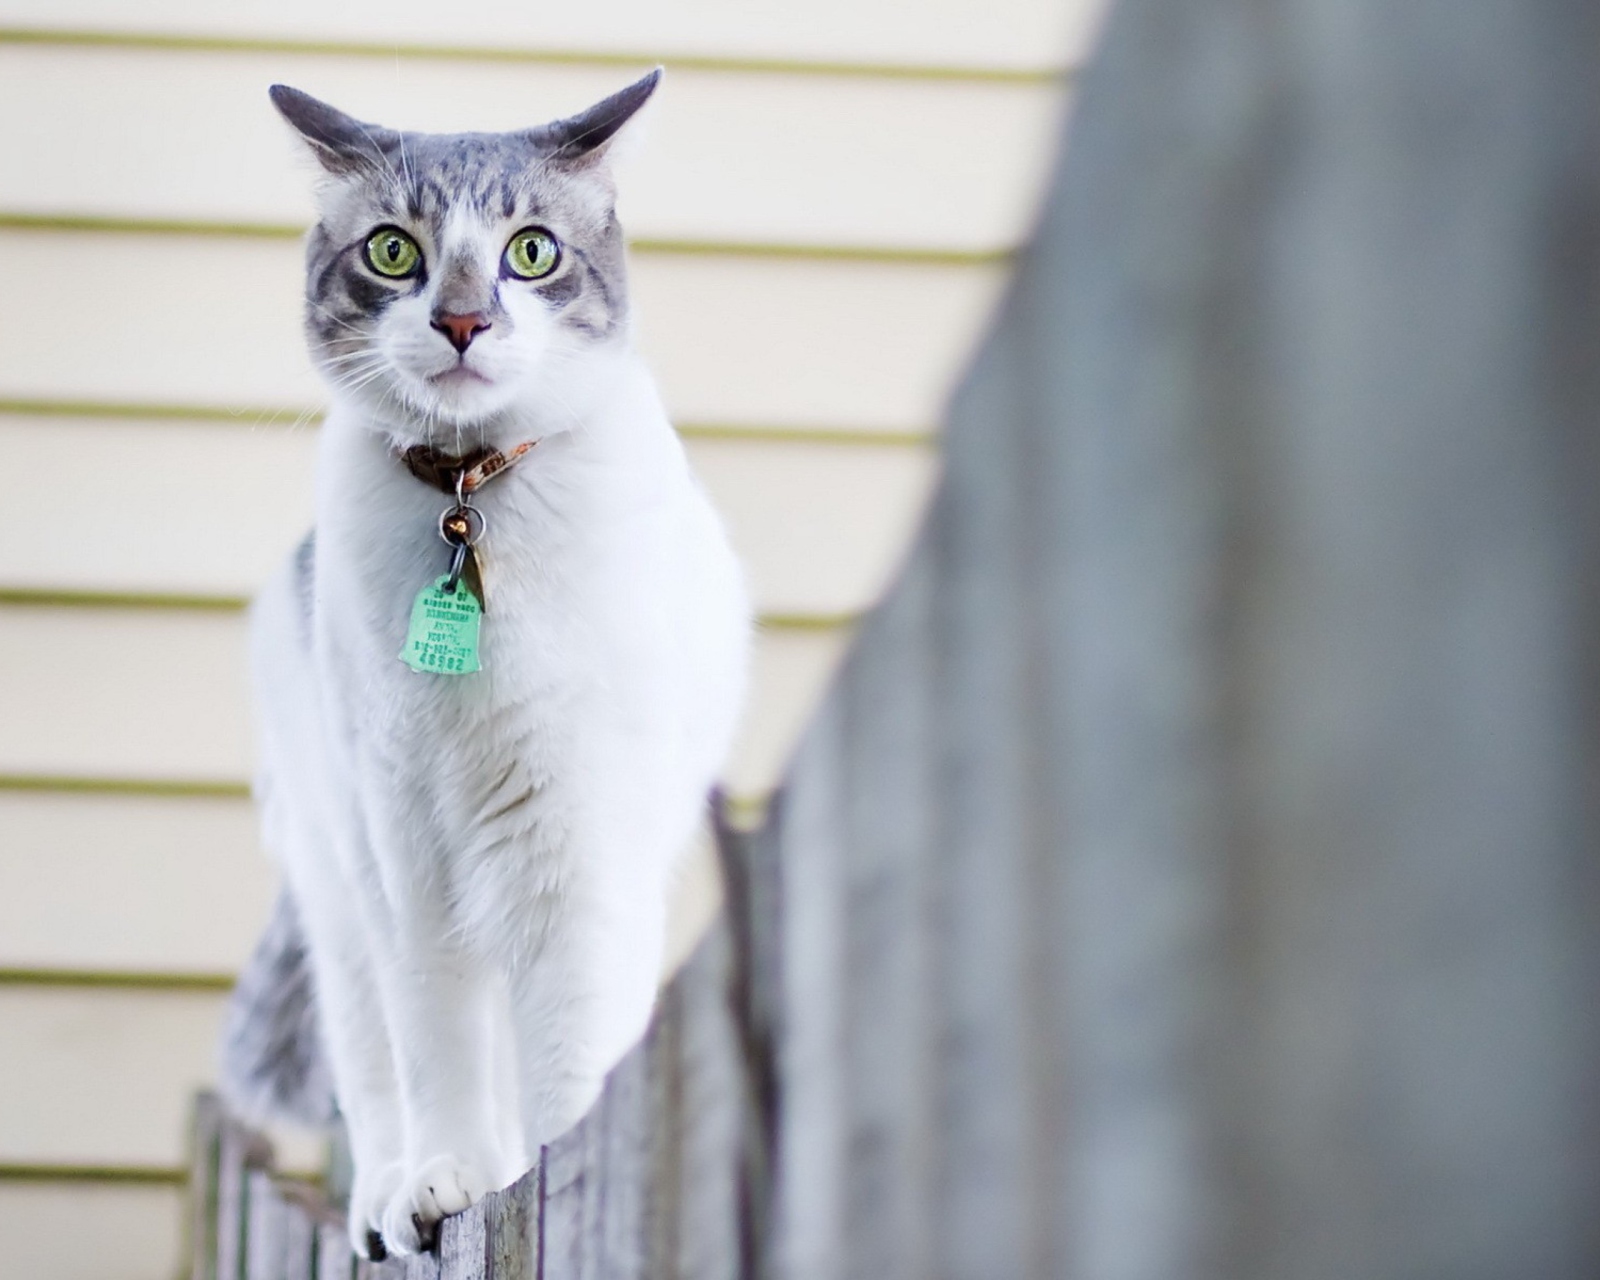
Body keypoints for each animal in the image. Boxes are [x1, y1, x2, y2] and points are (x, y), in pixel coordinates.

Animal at [216, 72, 752, 1260]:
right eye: (394, 252)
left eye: (531, 253)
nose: (463, 321)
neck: (470, 500)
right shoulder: (407, 850)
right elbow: (437, 1046)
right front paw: (445, 1183)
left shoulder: (577, 845)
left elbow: (572, 1050)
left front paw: (556, 1181)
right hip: (339, 885)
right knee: (374, 1066)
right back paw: (384, 1198)